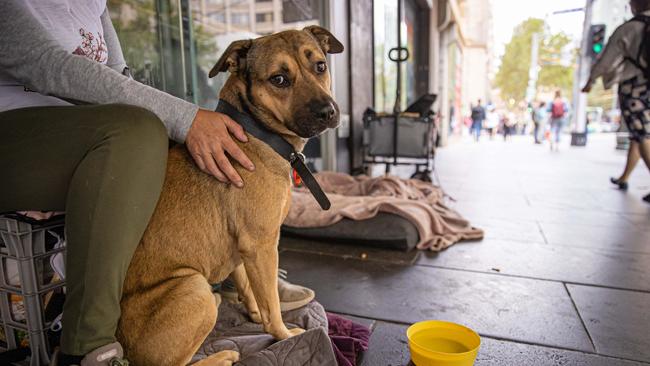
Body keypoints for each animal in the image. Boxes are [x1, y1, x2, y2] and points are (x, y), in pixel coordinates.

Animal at [114, 26, 342, 366]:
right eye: (279, 79)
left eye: (320, 66)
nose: (329, 112)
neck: (258, 132)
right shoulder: (262, 245)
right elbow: (272, 306)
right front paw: (284, 335)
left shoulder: (242, 248)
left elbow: (251, 288)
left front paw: (253, 315)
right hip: (194, 287)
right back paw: (221, 355)